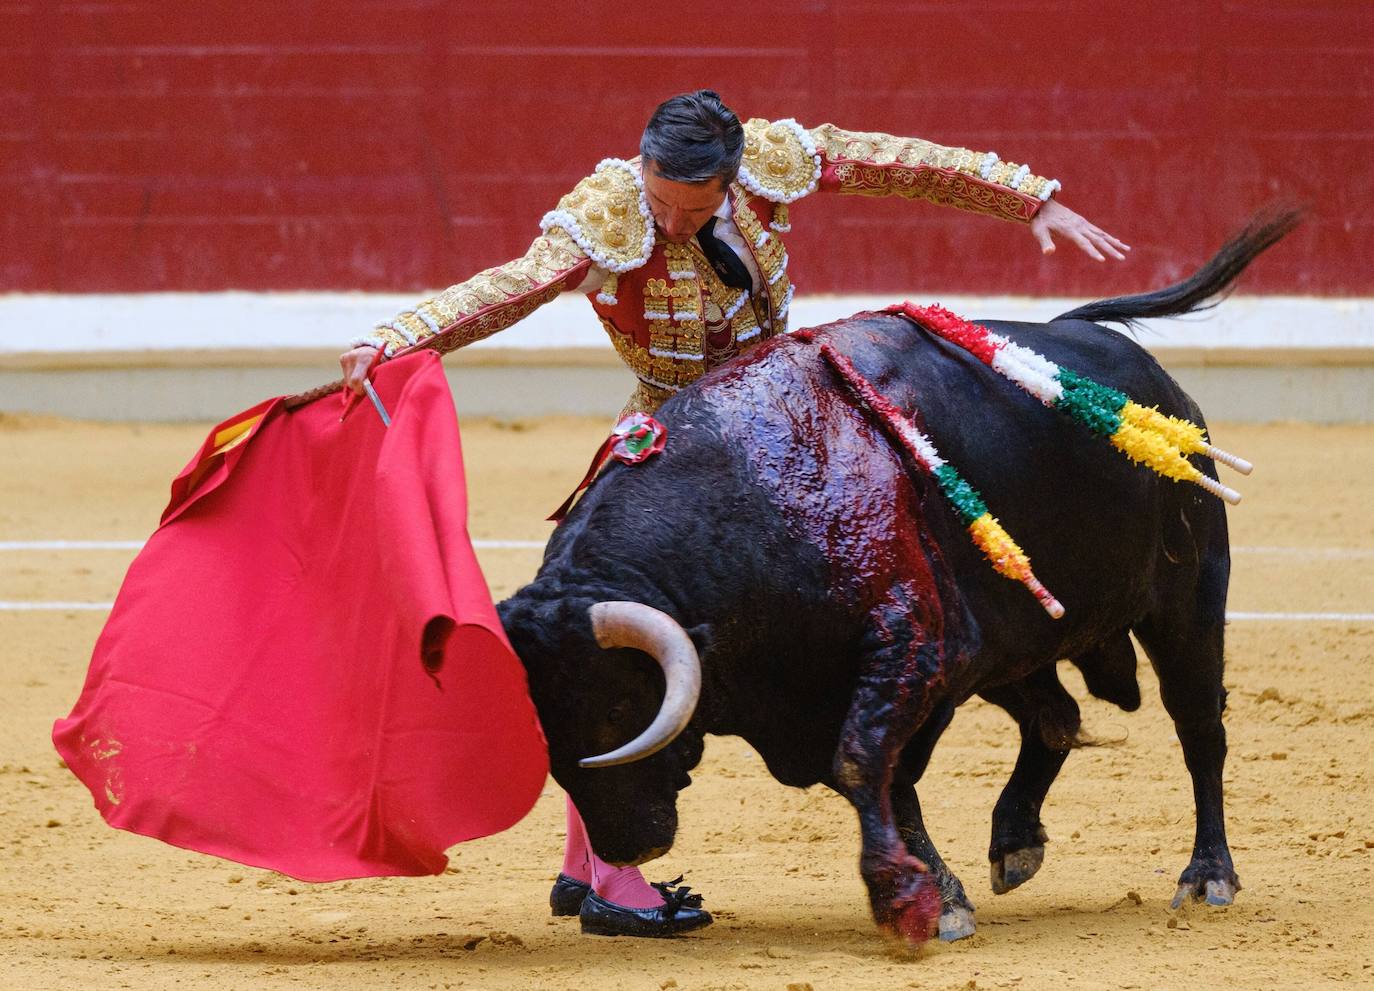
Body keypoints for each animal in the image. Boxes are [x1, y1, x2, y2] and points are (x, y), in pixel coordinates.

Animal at [497, 210, 1297, 945]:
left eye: (615, 711)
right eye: (543, 727)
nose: (627, 845)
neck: (751, 498)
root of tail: (1148, 377)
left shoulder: (911, 650)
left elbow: (869, 765)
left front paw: (920, 900)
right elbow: (878, 777)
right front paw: (935, 891)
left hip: (1187, 600)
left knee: (1199, 727)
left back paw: (1208, 875)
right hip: (1011, 641)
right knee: (1056, 716)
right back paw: (1015, 843)